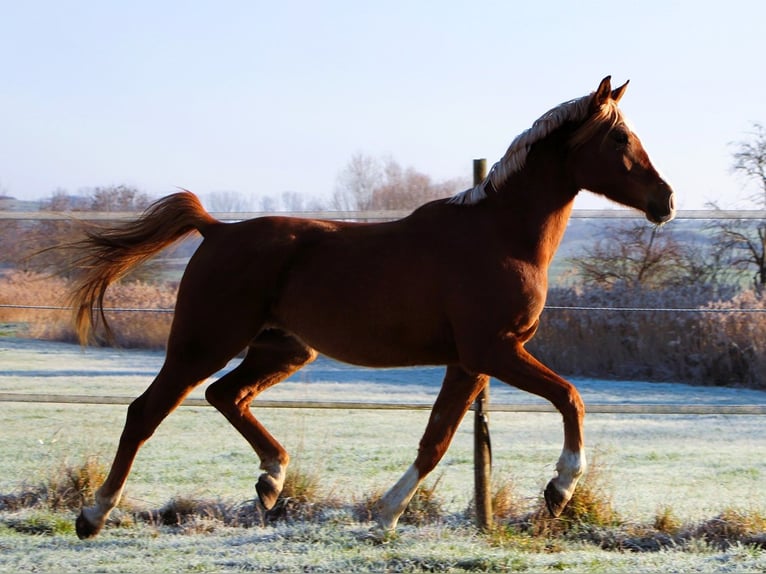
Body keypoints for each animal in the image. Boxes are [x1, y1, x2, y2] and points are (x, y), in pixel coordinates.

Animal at [69, 76, 675, 539]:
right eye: (620, 137)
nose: (665, 200)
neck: (501, 235)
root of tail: (217, 229)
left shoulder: (470, 362)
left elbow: (435, 441)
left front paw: (385, 516)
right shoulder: (494, 351)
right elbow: (570, 397)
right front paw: (558, 489)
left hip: (284, 349)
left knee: (227, 395)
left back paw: (271, 482)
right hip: (205, 343)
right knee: (145, 413)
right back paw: (93, 516)